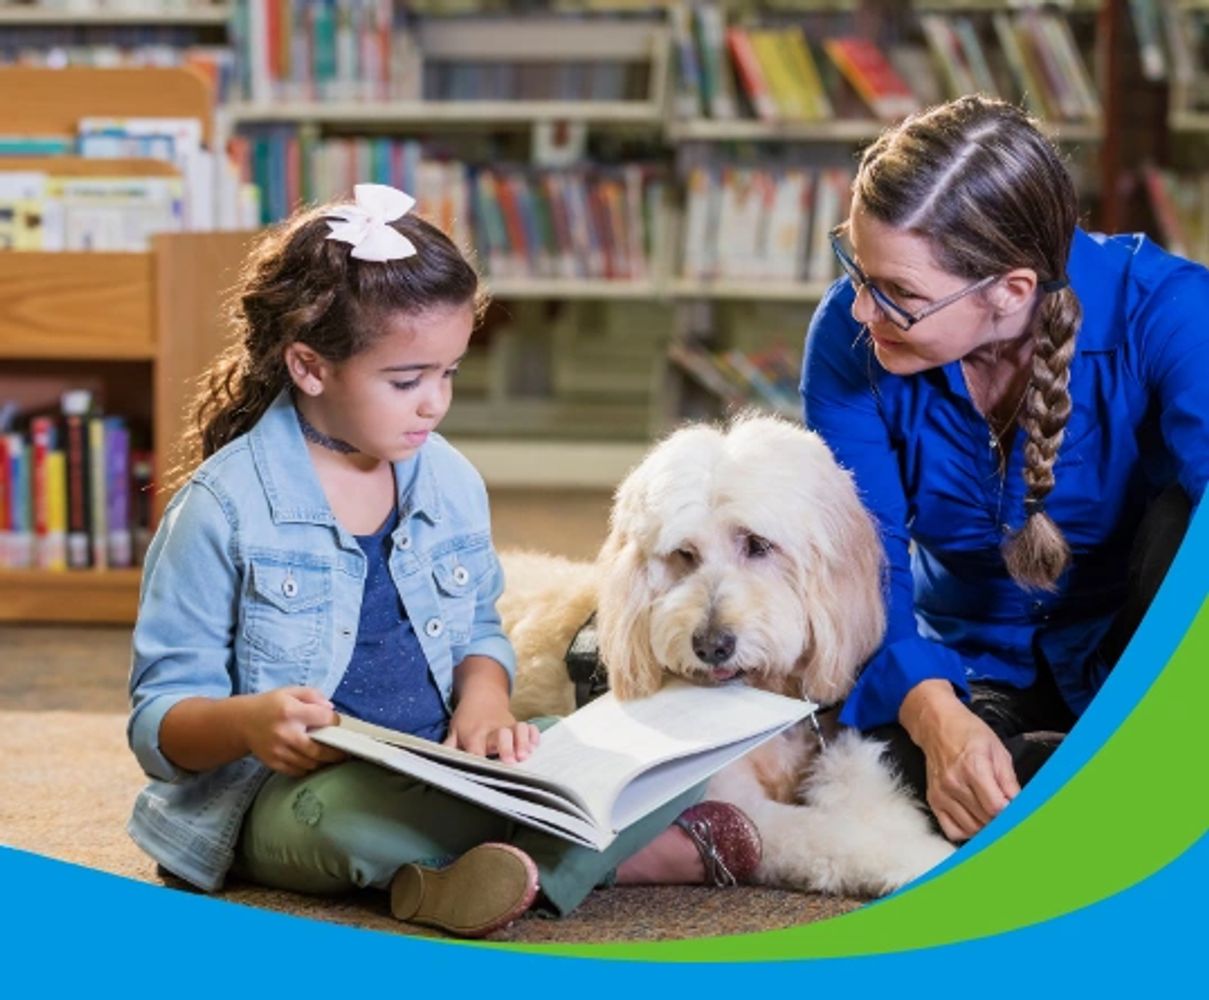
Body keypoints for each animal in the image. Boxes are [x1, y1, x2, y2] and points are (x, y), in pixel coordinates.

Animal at [498, 413, 952, 899]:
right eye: (684, 553)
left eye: (758, 544)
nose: (712, 645)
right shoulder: (742, 804)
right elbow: (828, 834)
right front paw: (918, 856)